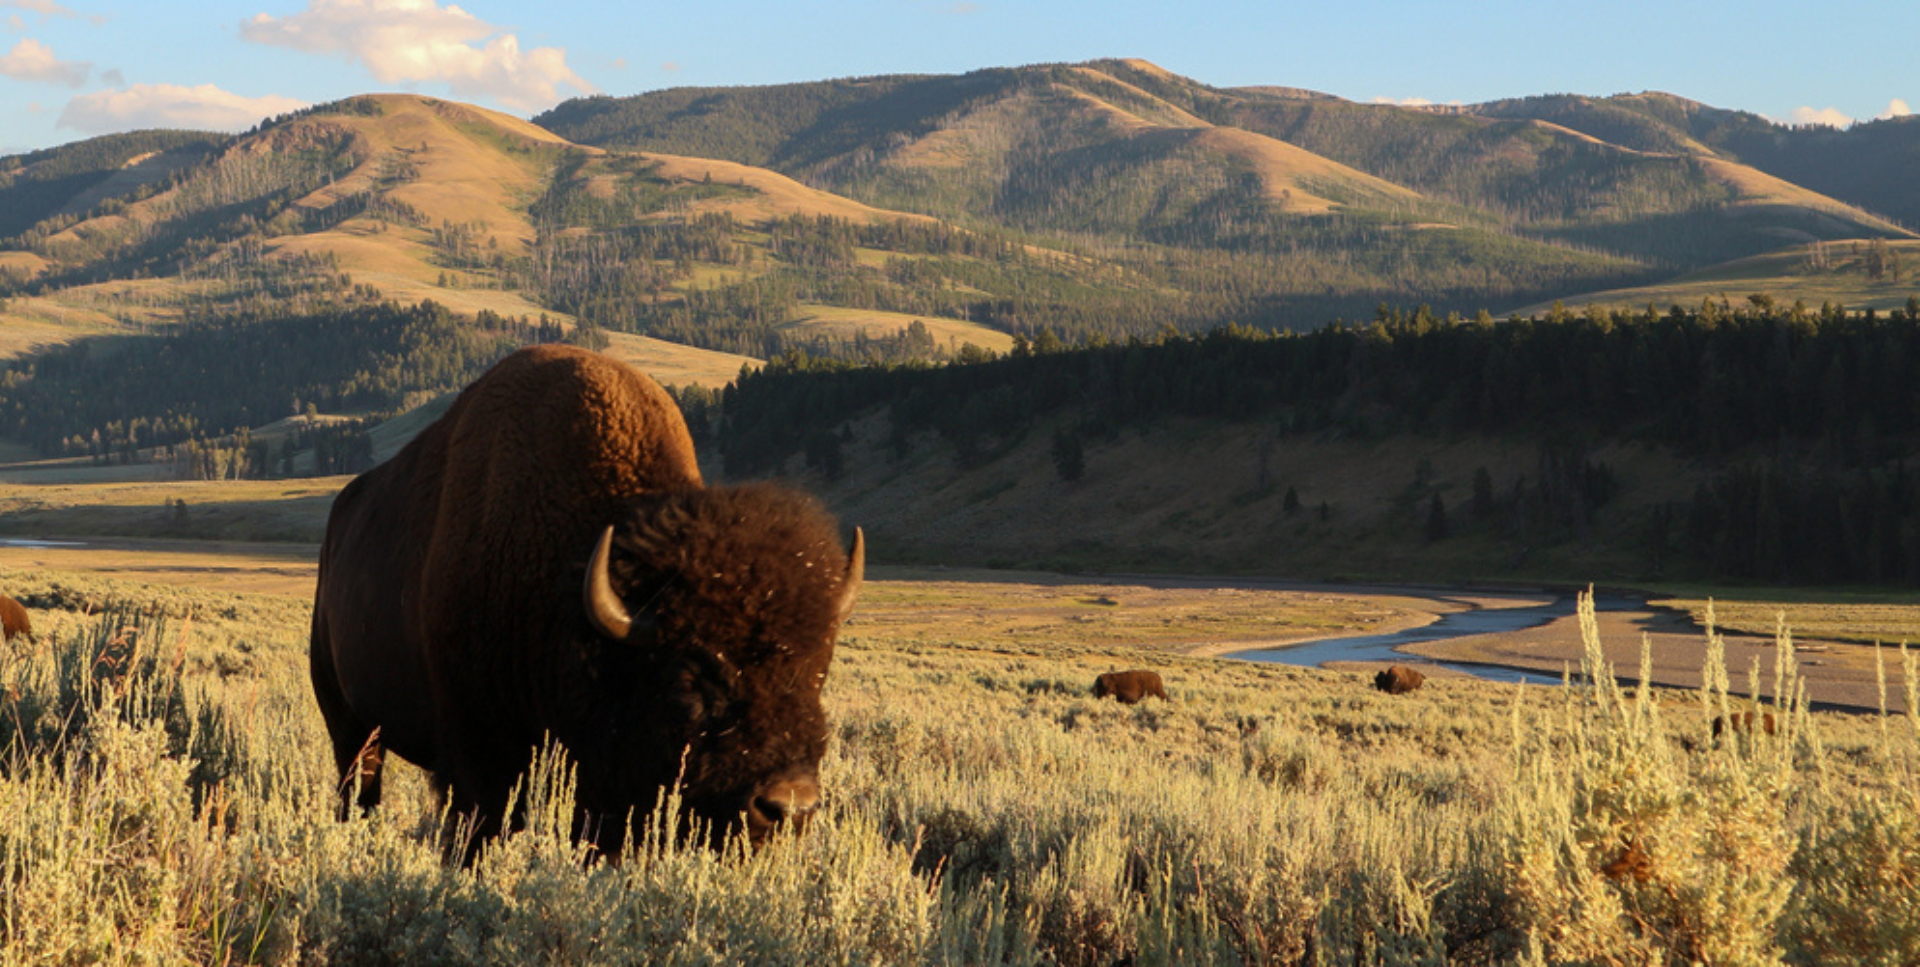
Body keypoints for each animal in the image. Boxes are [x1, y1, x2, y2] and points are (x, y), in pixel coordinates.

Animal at [309, 345, 862, 857]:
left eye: (818, 669)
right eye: (686, 679)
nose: (789, 806)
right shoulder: (476, 761)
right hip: (349, 722)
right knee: (358, 784)